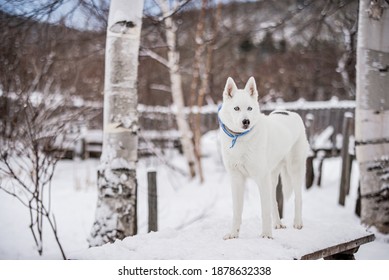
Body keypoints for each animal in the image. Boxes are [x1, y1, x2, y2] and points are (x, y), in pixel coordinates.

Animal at [218, 77, 310, 240]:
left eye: (249, 108)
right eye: (236, 108)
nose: (246, 121)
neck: (240, 138)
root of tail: (289, 112)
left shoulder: (261, 178)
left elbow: (265, 211)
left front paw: (266, 235)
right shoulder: (237, 179)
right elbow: (237, 211)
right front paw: (233, 234)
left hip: (294, 170)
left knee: (298, 198)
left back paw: (298, 223)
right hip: (271, 178)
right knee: (274, 201)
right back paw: (278, 224)